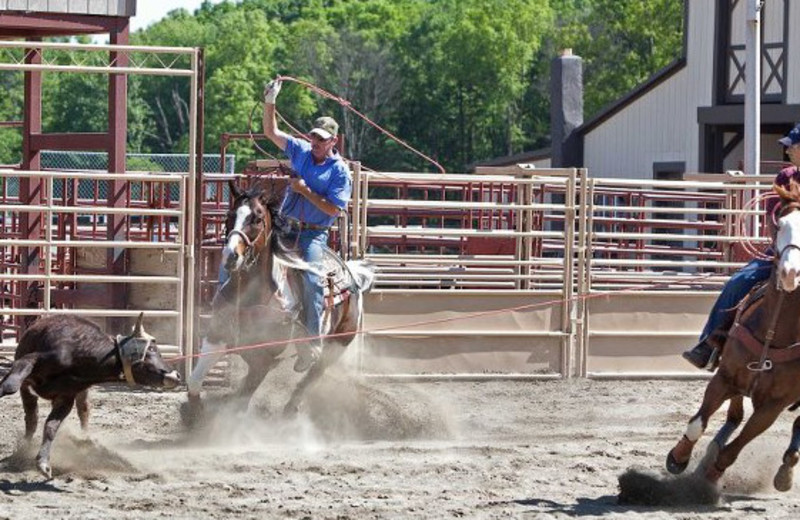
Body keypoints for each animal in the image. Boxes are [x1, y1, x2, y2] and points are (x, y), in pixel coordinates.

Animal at [0, 312, 180, 480]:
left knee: (82, 411)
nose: (176, 375)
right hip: (28, 389)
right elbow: (10, 386)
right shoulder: (31, 361)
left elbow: (51, 426)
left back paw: (84, 440)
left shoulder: (67, 397)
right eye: (152, 349)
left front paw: (43, 463)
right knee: (31, 418)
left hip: (81, 394)